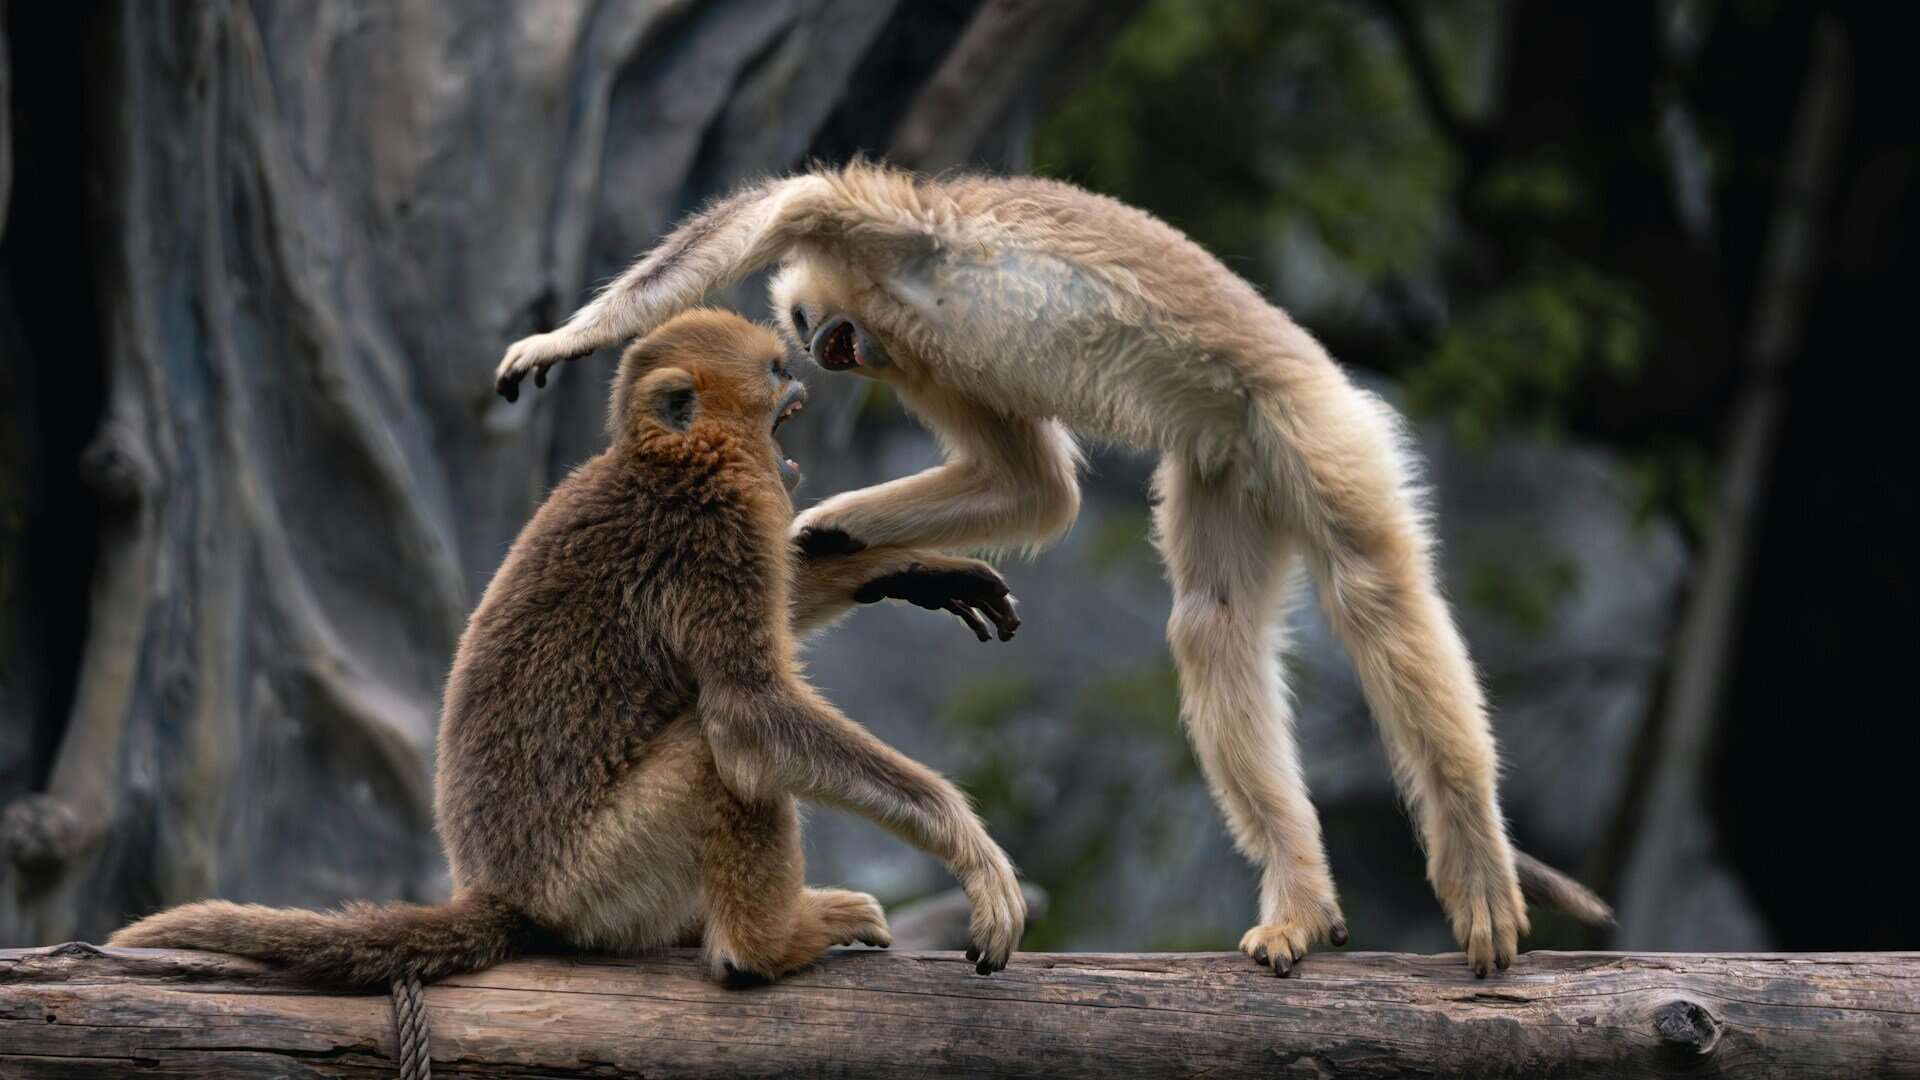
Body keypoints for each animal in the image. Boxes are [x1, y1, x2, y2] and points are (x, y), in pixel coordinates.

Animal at [110, 309, 1029, 986]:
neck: (668, 463)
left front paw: (905, 571)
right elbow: (748, 713)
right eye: (771, 370)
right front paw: (969, 847)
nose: (799, 370)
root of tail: (504, 892)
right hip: (595, 878)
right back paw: (761, 948)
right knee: (720, 752)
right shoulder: (716, 530)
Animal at [492, 163, 1615, 978]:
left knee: (1378, 596)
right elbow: (1034, 490)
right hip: (1227, 464)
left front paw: (575, 331)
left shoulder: (900, 237)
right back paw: (1299, 895)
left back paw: (1473, 859)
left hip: (1312, 428)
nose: (832, 348)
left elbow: (792, 202)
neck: (896, 304)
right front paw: (840, 532)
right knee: (1211, 623)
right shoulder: (923, 351)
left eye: (820, 335)